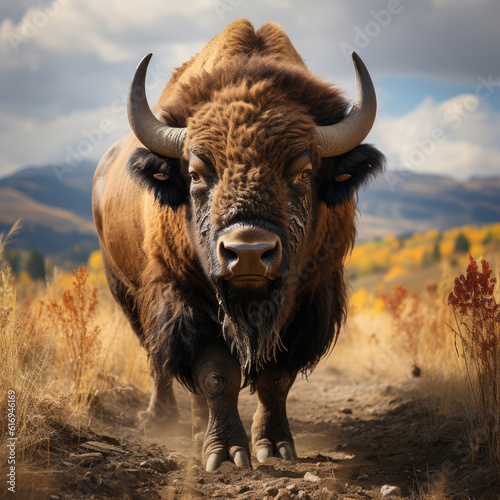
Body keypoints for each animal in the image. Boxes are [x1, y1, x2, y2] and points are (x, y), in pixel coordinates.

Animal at [93, 19, 382, 470]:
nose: (247, 253)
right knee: (157, 356)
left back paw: (197, 430)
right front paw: (227, 453)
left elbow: (276, 377)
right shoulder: (183, 297)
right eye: (196, 172)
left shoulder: (308, 300)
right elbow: (216, 373)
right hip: (126, 291)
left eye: (303, 171)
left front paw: (275, 447)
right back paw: (161, 421)